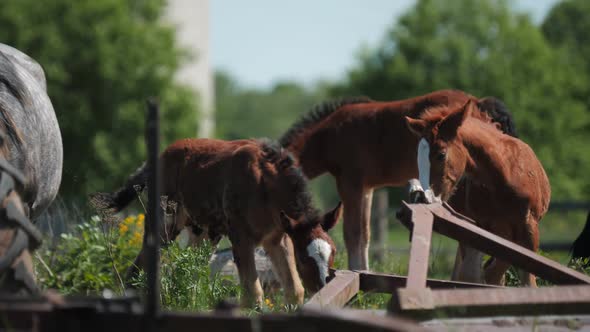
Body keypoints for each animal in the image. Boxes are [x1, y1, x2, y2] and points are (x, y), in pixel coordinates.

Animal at [92, 138, 342, 306]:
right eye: (304, 258)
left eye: (334, 252)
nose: (323, 289)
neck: (264, 183)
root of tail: (158, 158)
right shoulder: (241, 237)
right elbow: (253, 294)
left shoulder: (277, 239)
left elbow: (294, 290)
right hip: (164, 225)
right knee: (137, 269)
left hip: (203, 232)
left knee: (190, 271)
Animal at [404, 101, 552, 286]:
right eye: (418, 156)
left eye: (441, 154)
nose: (425, 197)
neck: (504, 175)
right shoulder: (476, 228)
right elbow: (474, 274)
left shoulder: (529, 228)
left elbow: (525, 278)